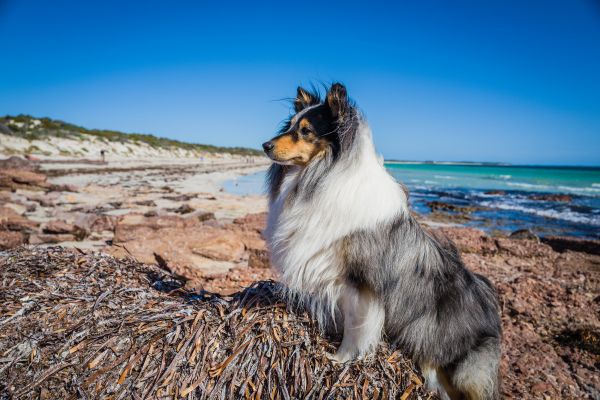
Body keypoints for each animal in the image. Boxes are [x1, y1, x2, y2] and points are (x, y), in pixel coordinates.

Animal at [262, 83, 502, 398]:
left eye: (305, 131)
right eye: (289, 126)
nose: (264, 145)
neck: (323, 174)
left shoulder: (361, 283)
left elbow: (356, 327)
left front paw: (340, 359)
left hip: (461, 369)